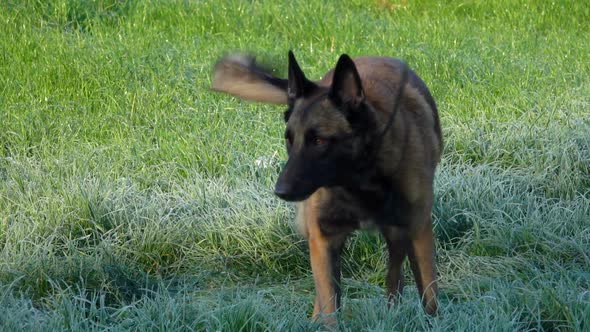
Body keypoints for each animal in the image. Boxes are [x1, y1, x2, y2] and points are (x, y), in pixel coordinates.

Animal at [210, 51, 442, 322]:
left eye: (319, 141)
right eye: (289, 140)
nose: (280, 191)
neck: (358, 181)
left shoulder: (418, 231)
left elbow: (429, 300)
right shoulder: (323, 240)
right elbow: (330, 308)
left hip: (397, 234)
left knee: (394, 272)